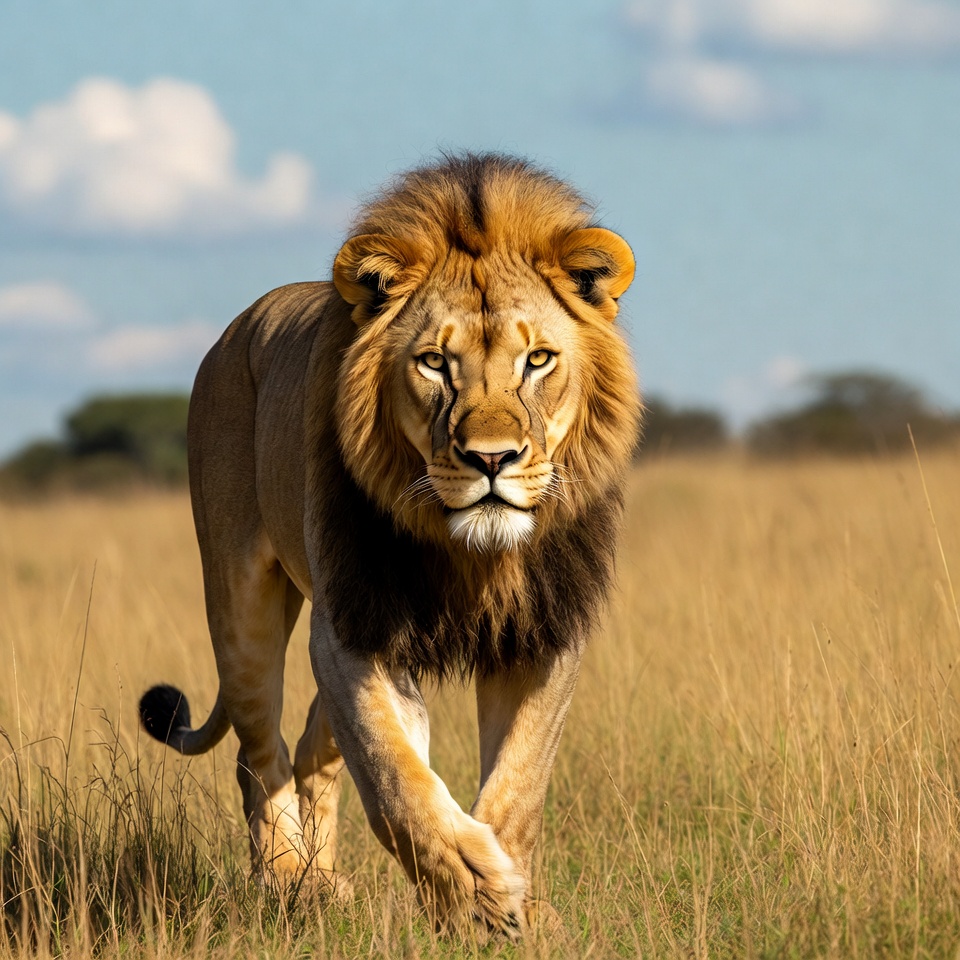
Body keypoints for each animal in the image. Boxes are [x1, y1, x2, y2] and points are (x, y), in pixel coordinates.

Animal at [139, 152, 640, 938]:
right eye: (434, 362)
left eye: (537, 359)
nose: (491, 459)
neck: (474, 557)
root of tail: (235, 330)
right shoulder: (353, 625)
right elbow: (396, 775)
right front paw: (470, 892)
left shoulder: (544, 632)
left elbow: (519, 783)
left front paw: (515, 903)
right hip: (239, 599)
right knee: (260, 752)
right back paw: (291, 882)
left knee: (313, 749)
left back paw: (323, 883)